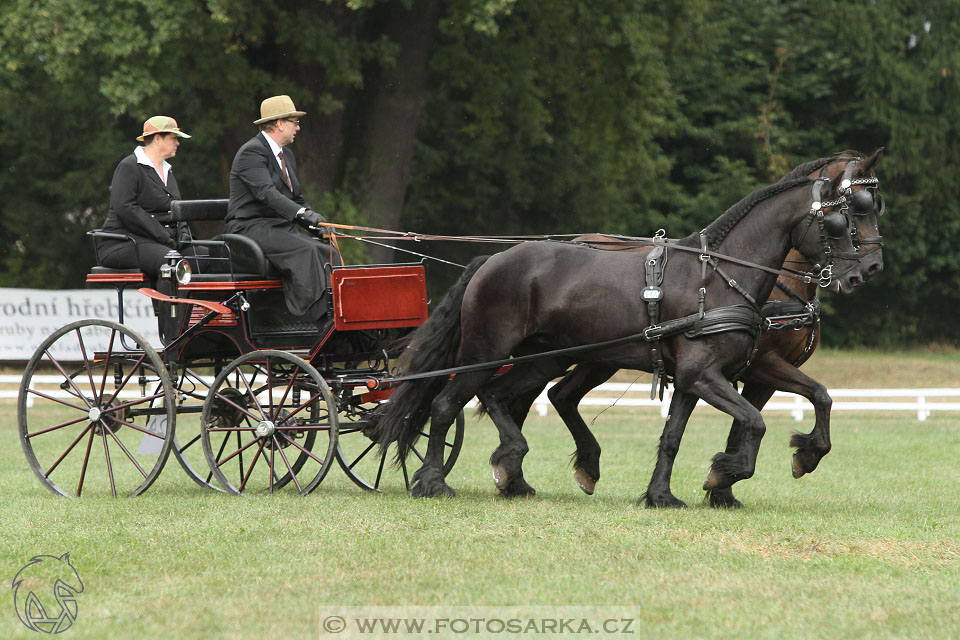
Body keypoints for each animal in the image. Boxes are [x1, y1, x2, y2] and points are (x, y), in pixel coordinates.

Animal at [376, 172, 864, 502]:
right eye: (838, 224)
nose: (858, 273)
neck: (718, 276)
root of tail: (492, 260)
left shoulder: (697, 378)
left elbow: (675, 435)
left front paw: (663, 495)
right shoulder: (708, 375)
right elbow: (756, 421)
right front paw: (726, 473)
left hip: (547, 357)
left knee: (504, 397)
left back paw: (514, 471)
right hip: (486, 350)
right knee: (446, 405)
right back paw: (434, 482)